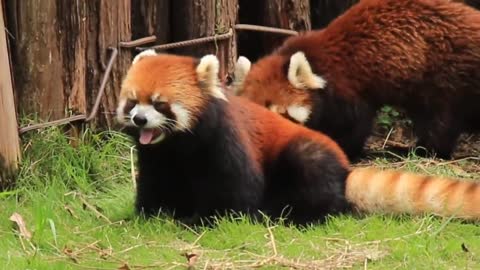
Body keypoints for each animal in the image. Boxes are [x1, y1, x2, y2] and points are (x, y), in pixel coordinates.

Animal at [117, 49, 480, 225]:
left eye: (160, 103)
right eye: (133, 101)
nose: (139, 119)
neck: (179, 147)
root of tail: (346, 171)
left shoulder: (225, 143)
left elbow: (238, 189)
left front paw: (204, 220)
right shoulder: (158, 159)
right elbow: (154, 186)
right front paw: (146, 216)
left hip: (306, 154)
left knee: (312, 179)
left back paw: (298, 217)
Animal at [234, 0, 480, 160]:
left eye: (281, 113)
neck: (318, 65)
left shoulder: (349, 90)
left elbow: (354, 125)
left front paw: (345, 149)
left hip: (443, 74)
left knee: (439, 119)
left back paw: (422, 150)